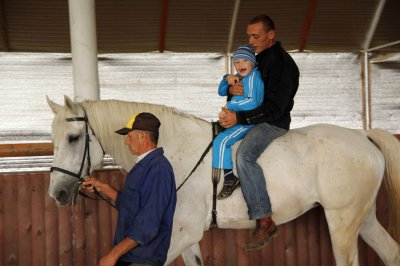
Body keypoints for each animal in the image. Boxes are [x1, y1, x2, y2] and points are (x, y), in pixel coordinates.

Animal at [47, 96, 400, 266]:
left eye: (74, 138)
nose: (57, 193)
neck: (173, 149)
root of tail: (362, 136)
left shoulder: (180, 234)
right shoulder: (185, 237)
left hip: (342, 222)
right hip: (362, 218)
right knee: (391, 254)